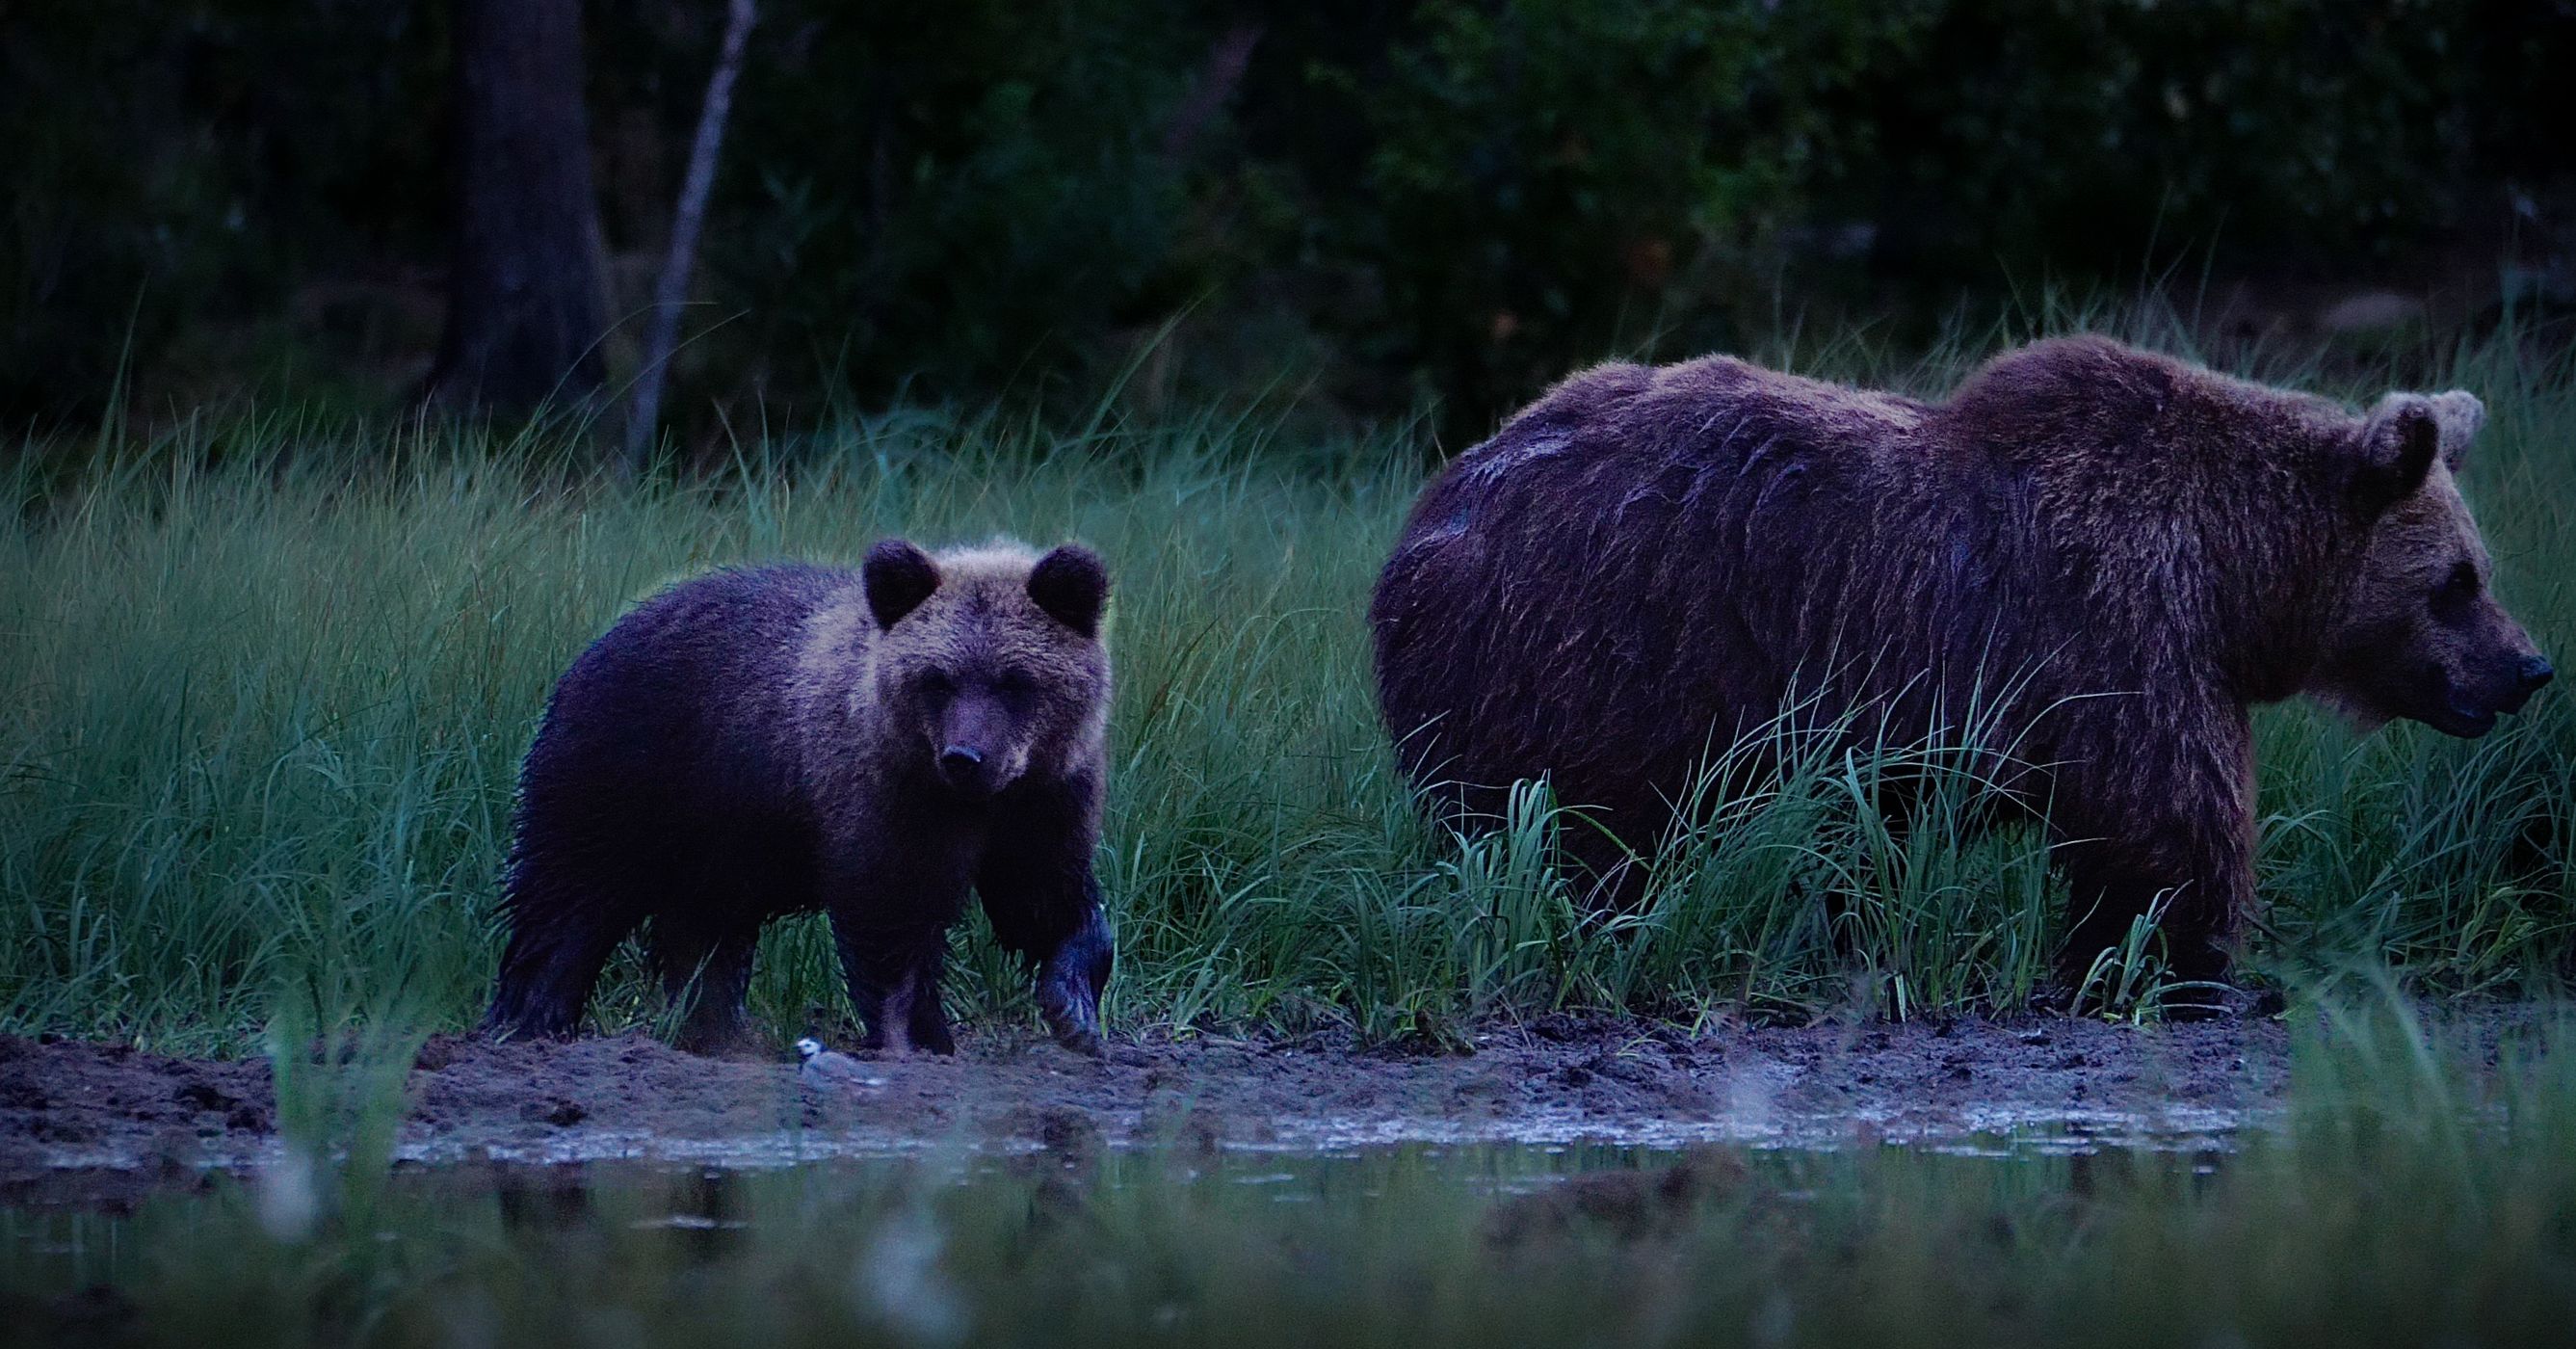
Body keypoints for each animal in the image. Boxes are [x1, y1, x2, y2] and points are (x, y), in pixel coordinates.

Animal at [480, 538, 1117, 1056]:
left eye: (1015, 680)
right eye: (936, 679)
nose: (964, 757)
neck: (982, 799)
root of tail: (600, 638)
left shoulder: (1044, 802)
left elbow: (1045, 900)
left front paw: (1073, 1008)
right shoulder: (884, 799)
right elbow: (892, 914)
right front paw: (918, 1037)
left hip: (719, 834)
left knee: (701, 932)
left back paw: (715, 1032)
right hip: (628, 769)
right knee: (569, 895)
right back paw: (530, 1021)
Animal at [1370, 335, 2550, 987]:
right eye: (2455, 581)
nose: (2528, 667)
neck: (2231, 574)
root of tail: (1433, 509)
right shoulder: (2117, 635)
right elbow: (2168, 824)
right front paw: (2175, 957)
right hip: (1593, 654)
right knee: (1569, 833)